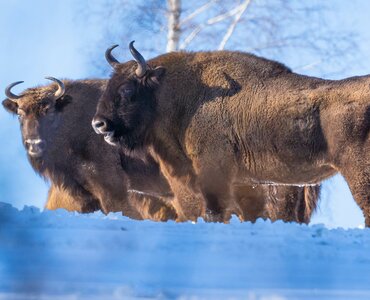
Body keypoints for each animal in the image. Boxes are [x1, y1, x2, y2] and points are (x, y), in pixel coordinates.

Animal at [93, 41, 368, 225]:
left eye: (128, 90)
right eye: (109, 85)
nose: (99, 124)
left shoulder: (213, 173)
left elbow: (214, 210)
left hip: (356, 172)